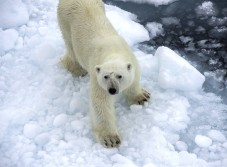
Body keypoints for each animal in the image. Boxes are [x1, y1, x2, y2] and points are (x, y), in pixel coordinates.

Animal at [57, 0, 150, 147]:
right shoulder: (97, 75)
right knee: (71, 48)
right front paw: (110, 139)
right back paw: (76, 69)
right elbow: (100, 102)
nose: (112, 90)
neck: (113, 51)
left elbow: (133, 82)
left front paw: (142, 96)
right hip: (65, 21)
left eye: (119, 76)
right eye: (106, 76)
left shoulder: (133, 61)